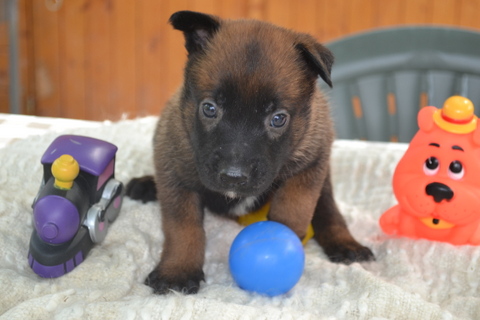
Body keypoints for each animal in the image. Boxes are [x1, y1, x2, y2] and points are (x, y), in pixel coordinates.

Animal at [127, 10, 376, 296]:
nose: (233, 177)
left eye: (278, 119)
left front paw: (283, 240)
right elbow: (183, 228)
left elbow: (293, 210)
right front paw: (177, 271)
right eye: (209, 109)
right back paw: (145, 184)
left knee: (329, 209)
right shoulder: (174, 174)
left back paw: (346, 244)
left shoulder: (311, 163)